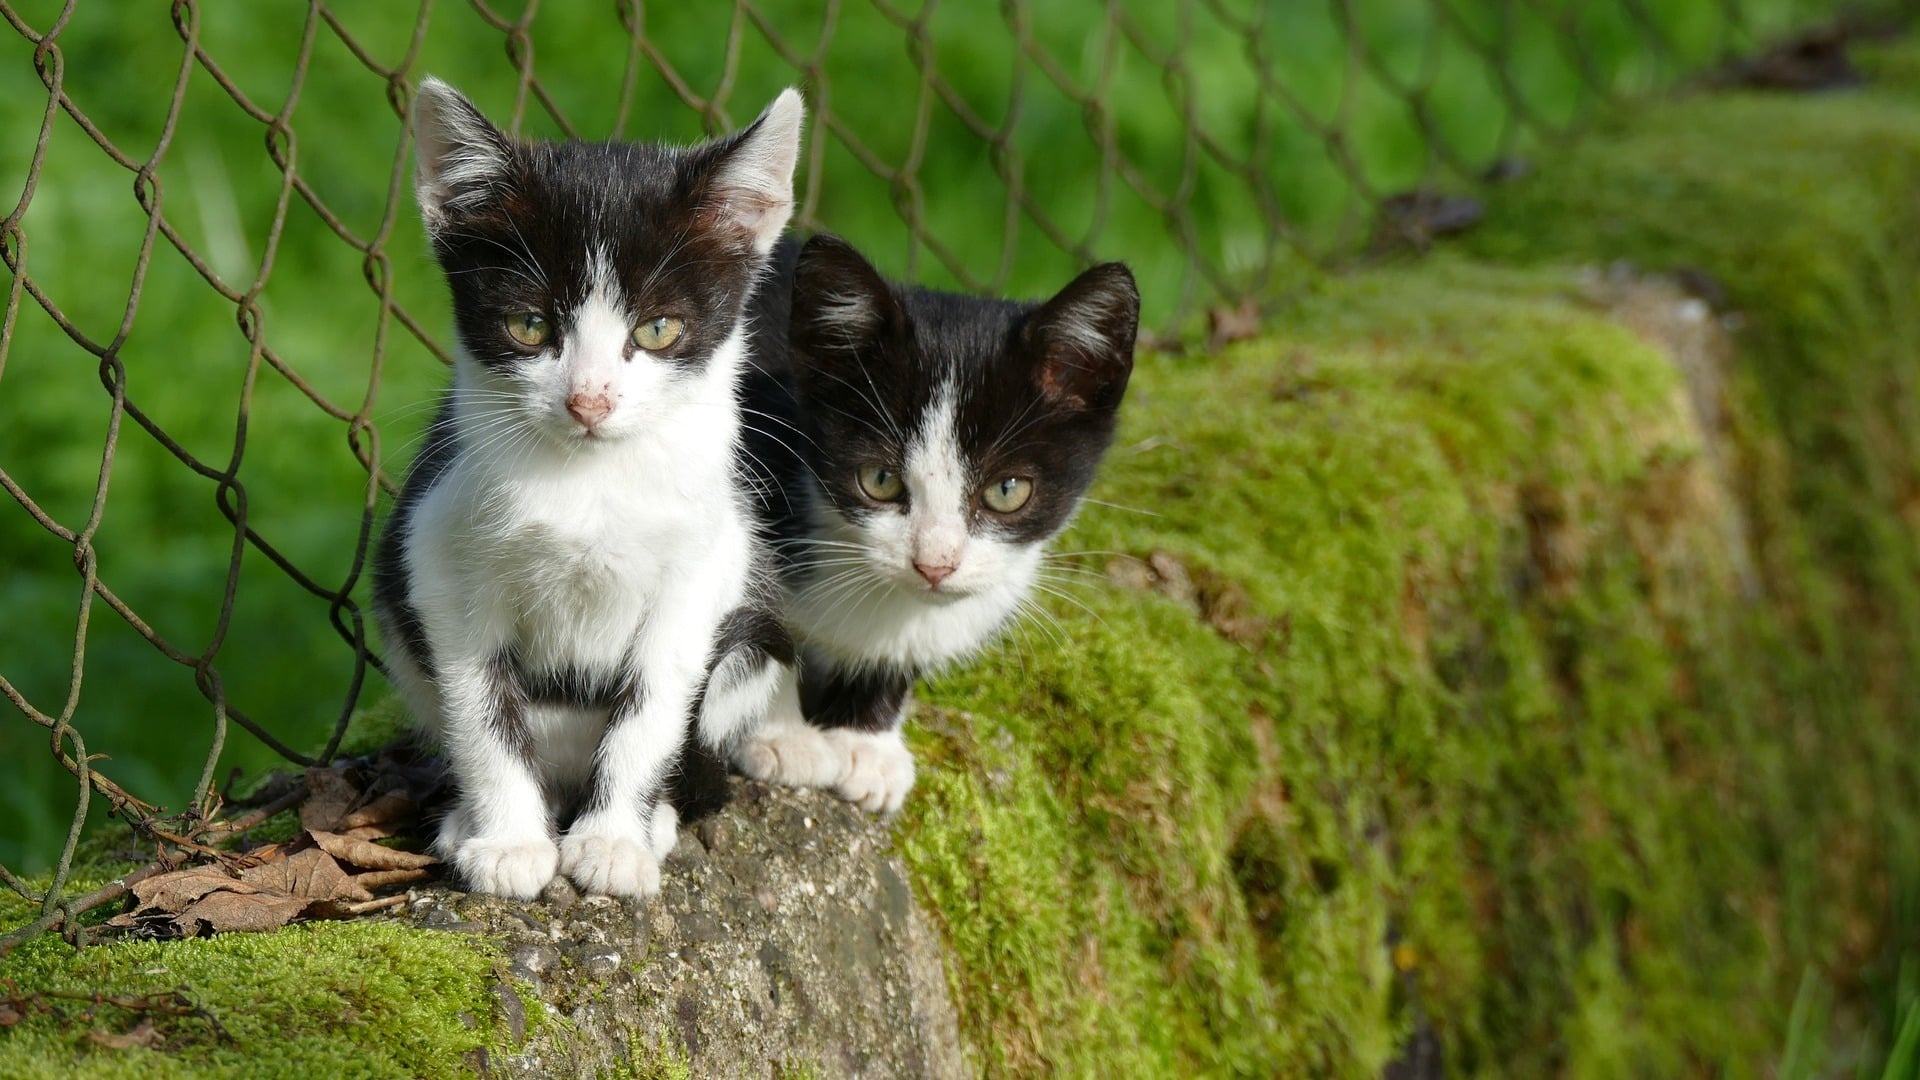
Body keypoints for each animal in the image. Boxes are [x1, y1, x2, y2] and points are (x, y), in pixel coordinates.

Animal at [374, 77, 802, 899]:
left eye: (659, 329)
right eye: (529, 325)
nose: (589, 400)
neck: (589, 481)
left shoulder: (704, 568)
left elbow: (652, 704)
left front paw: (613, 843)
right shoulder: (440, 553)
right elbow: (482, 709)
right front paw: (510, 843)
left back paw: (651, 817)